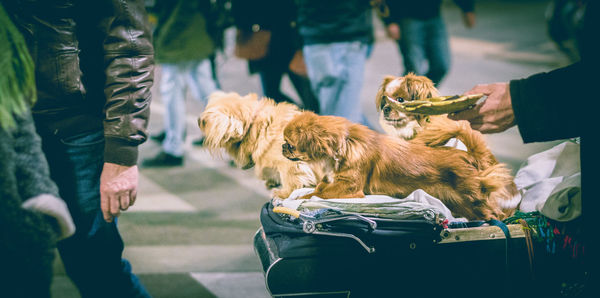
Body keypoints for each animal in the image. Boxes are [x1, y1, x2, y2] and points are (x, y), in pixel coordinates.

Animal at [282, 110, 516, 220]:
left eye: (290, 144)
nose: (282, 147)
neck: (344, 145)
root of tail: (470, 157)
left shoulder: (348, 188)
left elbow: (317, 194)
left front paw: (300, 198)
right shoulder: (332, 181)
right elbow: (318, 188)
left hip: (472, 197)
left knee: (495, 214)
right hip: (458, 201)